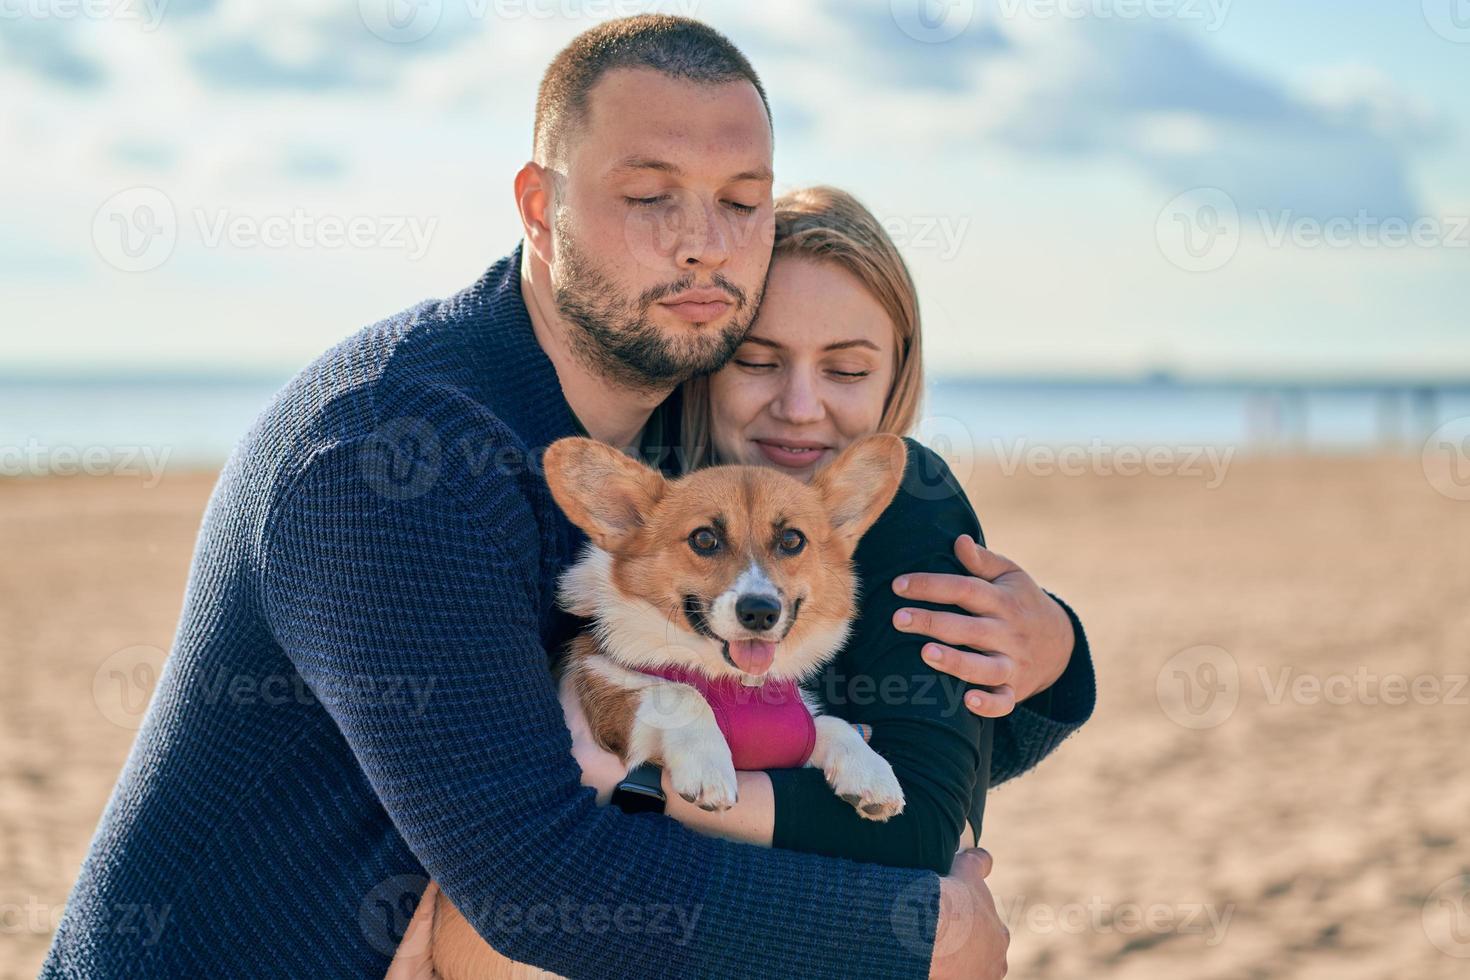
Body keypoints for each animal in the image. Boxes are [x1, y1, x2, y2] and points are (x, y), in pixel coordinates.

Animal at [429, 437, 905, 980]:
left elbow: (830, 725)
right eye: (704, 539)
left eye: (791, 540)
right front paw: (709, 768)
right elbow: (679, 693)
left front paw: (872, 775)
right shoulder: (603, 686)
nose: (759, 612)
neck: (736, 686)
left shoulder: (793, 732)